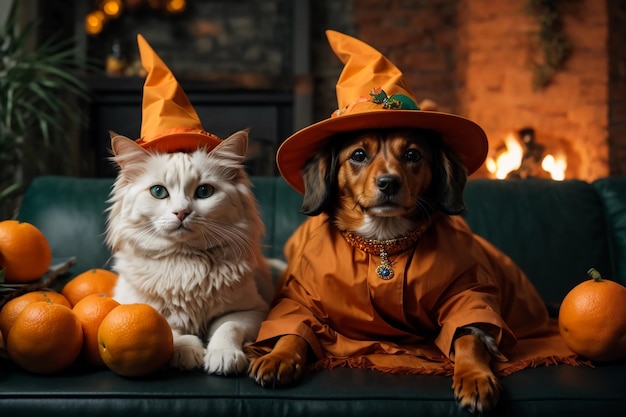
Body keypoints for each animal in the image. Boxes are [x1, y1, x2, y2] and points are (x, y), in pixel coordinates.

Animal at [105, 129, 272, 374]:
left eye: (204, 191)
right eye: (158, 191)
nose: (181, 212)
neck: (186, 261)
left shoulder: (253, 310)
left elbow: (228, 326)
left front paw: (223, 356)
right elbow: (171, 330)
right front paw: (187, 352)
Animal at [246, 129, 510, 412]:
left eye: (412, 154)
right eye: (359, 155)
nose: (389, 183)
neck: (382, 241)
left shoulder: (465, 294)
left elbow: (469, 335)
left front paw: (474, 376)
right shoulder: (300, 297)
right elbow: (292, 328)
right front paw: (279, 356)